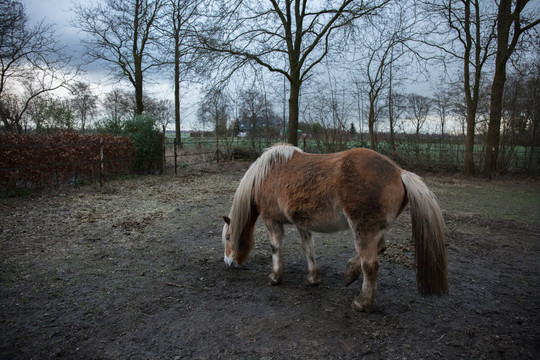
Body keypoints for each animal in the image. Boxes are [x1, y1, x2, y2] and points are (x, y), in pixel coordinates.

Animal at [223, 143, 448, 312]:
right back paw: (351, 273)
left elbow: (276, 249)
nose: (228, 262)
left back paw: (362, 303)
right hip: (376, 230)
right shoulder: (302, 224)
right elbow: (308, 249)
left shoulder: (273, 222)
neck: (266, 175)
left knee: (371, 265)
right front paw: (313, 278)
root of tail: (400, 172)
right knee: (381, 248)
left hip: (363, 230)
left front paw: (275, 277)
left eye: (227, 237)